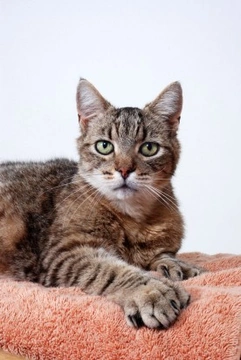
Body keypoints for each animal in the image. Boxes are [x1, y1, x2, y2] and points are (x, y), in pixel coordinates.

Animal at [0, 79, 202, 330]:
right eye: (104, 146)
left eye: (149, 148)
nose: (124, 170)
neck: (135, 220)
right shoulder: (65, 252)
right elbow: (110, 269)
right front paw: (152, 291)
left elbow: (163, 255)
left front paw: (175, 265)